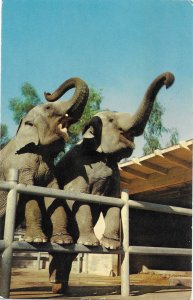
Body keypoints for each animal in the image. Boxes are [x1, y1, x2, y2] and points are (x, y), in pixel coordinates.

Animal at [0, 77, 89, 244]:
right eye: (48, 107)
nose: (47, 92)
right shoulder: (19, 166)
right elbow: (29, 194)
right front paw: (37, 240)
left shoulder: (50, 171)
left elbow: (54, 194)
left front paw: (63, 241)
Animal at [49, 72, 175, 292]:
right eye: (110, 119)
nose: (168, 81)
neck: (100, 155)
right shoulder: (78, 169)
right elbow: (78, 199)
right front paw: (92, 244)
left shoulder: (116, 175)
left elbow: (114, 203)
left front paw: (110, 246)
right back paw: (56, 285)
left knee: (67, 254)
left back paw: (60, 287)